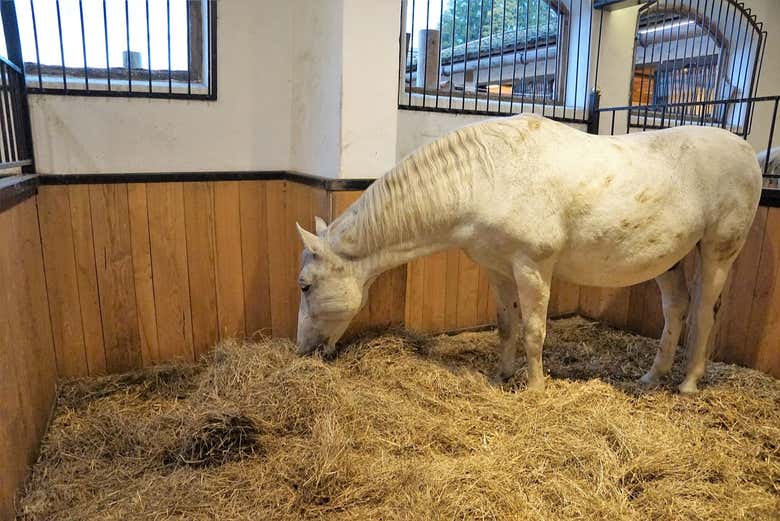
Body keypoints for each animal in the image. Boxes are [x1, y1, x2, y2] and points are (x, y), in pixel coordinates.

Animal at [294, 112, 760, 390]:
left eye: (304, 286)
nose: (302, 351)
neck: (484, 176)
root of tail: (747, 150)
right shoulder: (498, 269)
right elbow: (506, 325)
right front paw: (502, 375)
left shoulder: (532, 267)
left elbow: (534, 330)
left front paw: (535, 388)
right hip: (671, 259)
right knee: (676, 309)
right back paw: (652, 376)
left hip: (718, 252)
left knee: (703, 312)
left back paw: (688, 383)